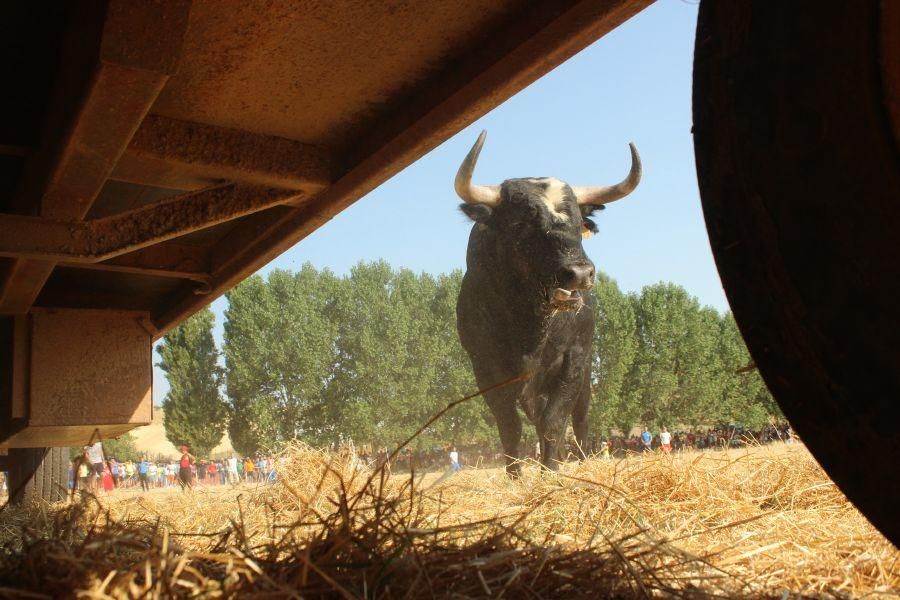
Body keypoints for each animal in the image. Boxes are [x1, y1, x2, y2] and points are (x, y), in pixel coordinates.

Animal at [450, 130, 640, 474]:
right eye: (521, 224)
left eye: (580, 223)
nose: (580, 273)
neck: (528, 325)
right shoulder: (484, 366)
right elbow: (509, 426)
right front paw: (515, 476)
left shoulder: (574, 358)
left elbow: (554, 422)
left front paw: (551, 473)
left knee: (578, 423)